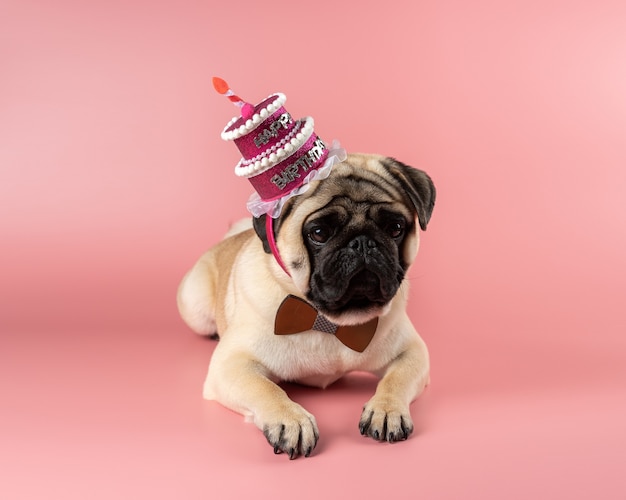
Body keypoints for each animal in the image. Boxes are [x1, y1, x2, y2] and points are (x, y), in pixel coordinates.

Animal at [177, 153, 434, 460]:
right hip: (195, 308)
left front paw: (387, 410)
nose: (362, 242)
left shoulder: (413, 352)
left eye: (394, 228)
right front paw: (291, 420)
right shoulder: (231, 366)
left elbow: (396, 379)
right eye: (319, 233)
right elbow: (266, 389)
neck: (326, 320)